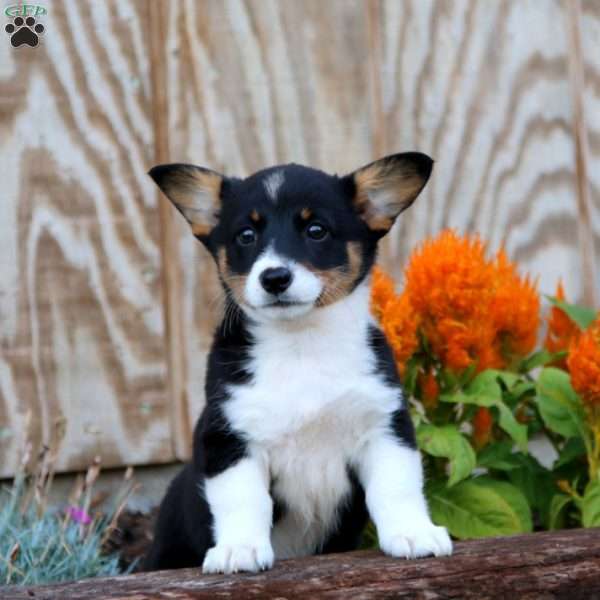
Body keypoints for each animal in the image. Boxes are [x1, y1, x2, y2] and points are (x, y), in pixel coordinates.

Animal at [145, 154, 452, 572]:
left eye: (316, 230)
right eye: (246, 235)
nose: (275, 278)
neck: (301, 343)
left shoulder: (385, 426)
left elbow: (397, 486)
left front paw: (414, 534)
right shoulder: (229, 438)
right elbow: (244, 499)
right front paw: (239, 549)